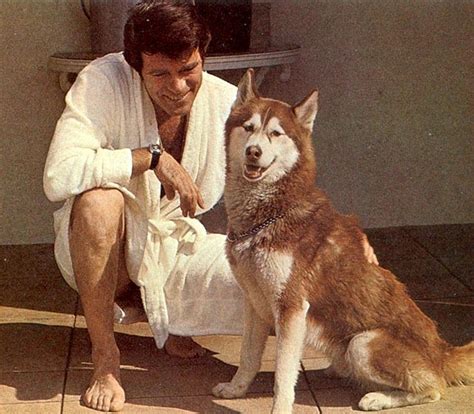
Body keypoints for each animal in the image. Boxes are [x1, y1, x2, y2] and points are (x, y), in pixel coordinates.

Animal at [212, 69, 474, 413]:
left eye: (276, 133)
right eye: (249, 128)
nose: (253, 151)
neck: (270, 213)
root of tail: (442, 351)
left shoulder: (291, 308)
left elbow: (283, 376)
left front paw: (279, 407)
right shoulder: (255, 303)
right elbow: (248, 357)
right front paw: (236, 388)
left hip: (363, 343)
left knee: (434, 388)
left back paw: (378, 397)